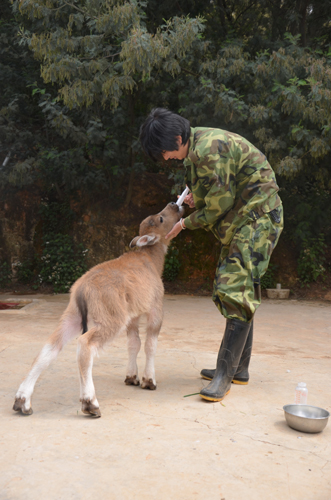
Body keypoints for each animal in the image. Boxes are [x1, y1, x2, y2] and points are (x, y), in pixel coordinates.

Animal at [13, 201, 184, 416]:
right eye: (161, 218)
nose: (174, 204)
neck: (151, 259)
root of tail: (82, 288)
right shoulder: (155, 307)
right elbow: (150, 344)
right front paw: (149, 380)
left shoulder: (132, 315)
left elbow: (133, 343)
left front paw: (131, 377)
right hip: (111, 318)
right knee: (85, 344)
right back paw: (90, 402)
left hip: (73, 316)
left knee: (50, 348)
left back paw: (22, 401)